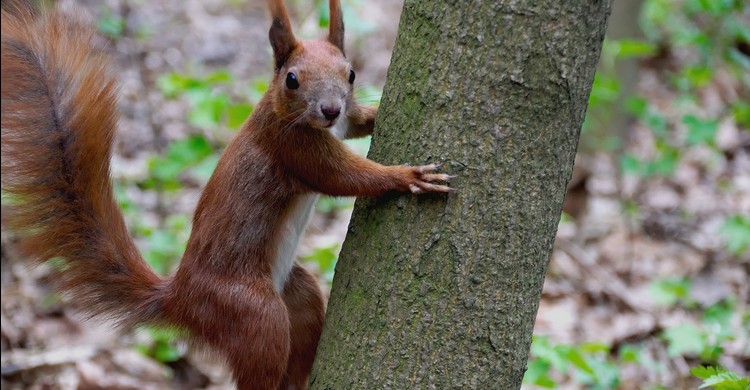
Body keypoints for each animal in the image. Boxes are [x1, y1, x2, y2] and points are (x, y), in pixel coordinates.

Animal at [0, 0, 452, 390]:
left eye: (351, 73)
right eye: (292, 79)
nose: (329, 109)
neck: (284, 112)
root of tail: (181, 298)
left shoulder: (343, 122)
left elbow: (359, 123)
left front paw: (371, 121)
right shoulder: (293, 149)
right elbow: (343, 178)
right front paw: (404, 176)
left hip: (296, 294)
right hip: (252, 313)